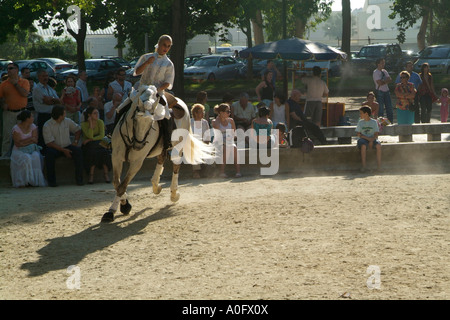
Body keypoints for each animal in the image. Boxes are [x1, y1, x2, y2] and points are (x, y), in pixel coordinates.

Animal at [101, 85, 210, 222]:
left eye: (151, 122)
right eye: (135, 119)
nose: (139, 145)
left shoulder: (137, 162)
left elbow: (122, 185)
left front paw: (117, 209)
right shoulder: (116, 157)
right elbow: (117, 183)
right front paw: (122, 205)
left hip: (178, 146)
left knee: (175, 165)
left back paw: (174, 194)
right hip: (161, 148)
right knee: (161, 159)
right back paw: (156, 186)